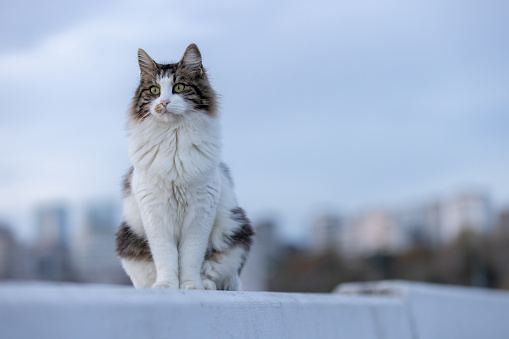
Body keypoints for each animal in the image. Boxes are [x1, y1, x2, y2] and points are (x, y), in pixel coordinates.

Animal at [113, 43, 252, 290]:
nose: (164, 103)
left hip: (235, 228)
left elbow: (190, 257)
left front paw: (191, 285)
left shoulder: (201, 212)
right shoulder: (155, 213)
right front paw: (166, 286)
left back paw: (207, 284)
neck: (174, 140)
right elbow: (166, 257)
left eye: (178, 87)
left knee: (222, 273)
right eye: (154, 91)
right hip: (126, 238)